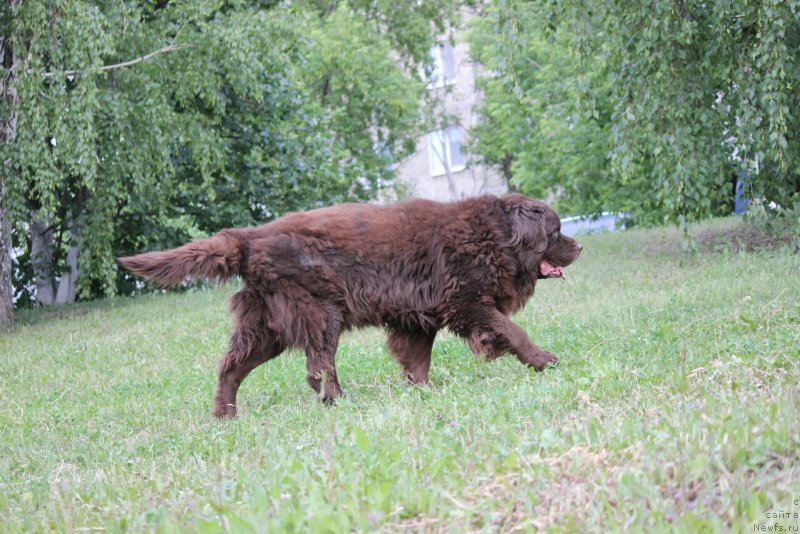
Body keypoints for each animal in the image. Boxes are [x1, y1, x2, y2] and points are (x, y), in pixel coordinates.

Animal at [119, 194, 580, 418]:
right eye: (556, 230)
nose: (580, 246)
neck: (492, 235)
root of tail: (250, 237)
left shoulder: (419, 317)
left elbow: (418, 360)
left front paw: (423, 393)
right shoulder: (467, 302)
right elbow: (512, 331)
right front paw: (544, 360)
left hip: (268, 326)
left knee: (231, 367)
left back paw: (225, 415)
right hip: (319, 313)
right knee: (319, 367)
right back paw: (337, 401)